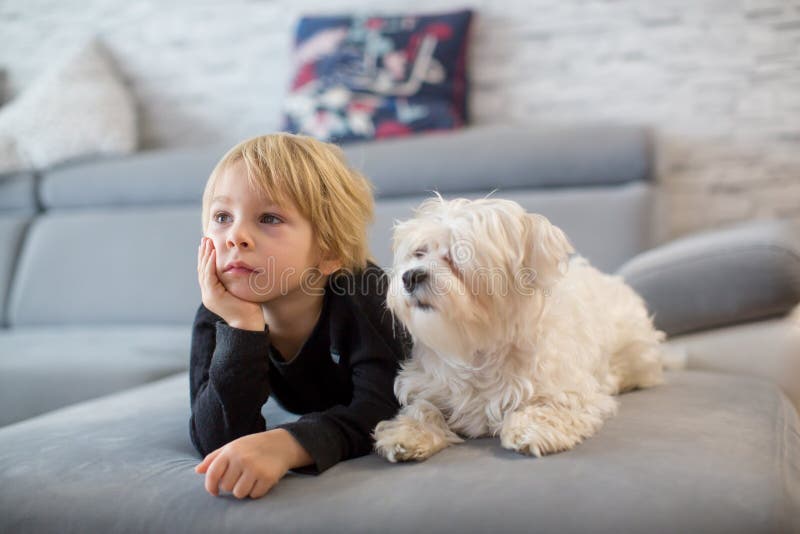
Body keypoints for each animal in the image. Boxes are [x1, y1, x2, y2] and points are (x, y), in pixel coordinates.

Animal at [372, 199, 664, 462]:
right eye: (419, 253)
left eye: (456, 255)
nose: (410, 276)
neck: (477, 347)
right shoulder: (427, 384)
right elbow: (423, 407)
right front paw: (408, 434)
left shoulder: (572, 390)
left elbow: (552, 406)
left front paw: (532, 429)